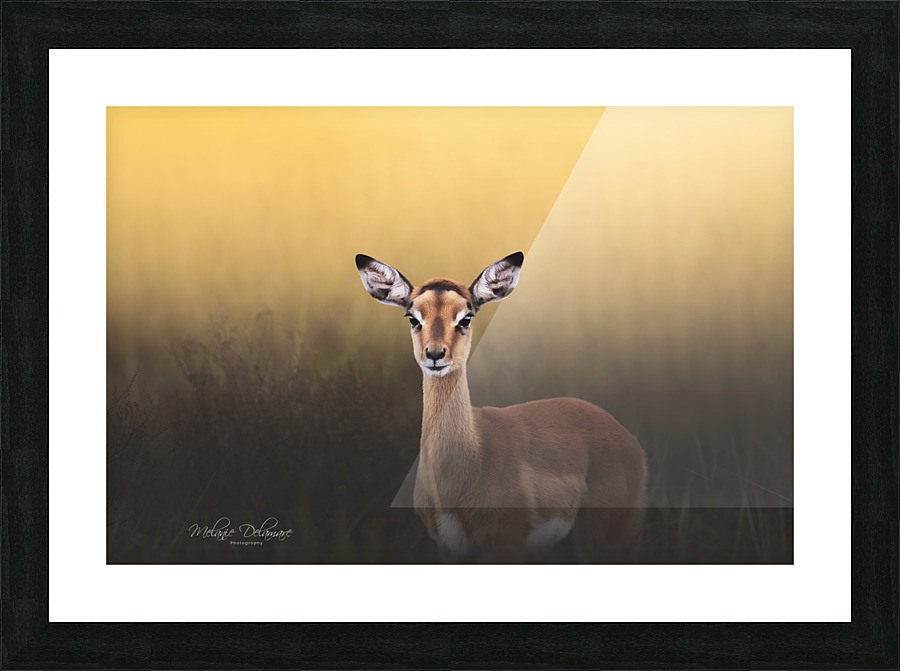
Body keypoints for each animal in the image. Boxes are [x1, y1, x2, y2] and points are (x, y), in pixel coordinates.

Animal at [356, 251, 646, 562]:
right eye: (413, 317)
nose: (434, 354)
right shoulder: (447, 547)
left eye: (466, 318)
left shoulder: (506, 544)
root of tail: (629, 439)